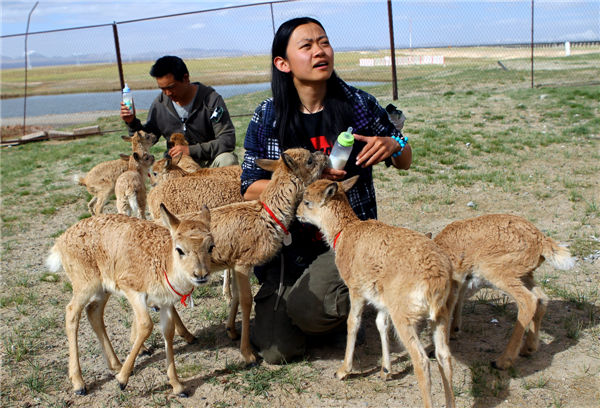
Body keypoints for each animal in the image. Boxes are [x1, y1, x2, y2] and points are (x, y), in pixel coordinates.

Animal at [47, 206, 216, 396]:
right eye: (179, 249)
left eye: (211, 246)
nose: (201, 274)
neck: (162, 263)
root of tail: (60, 240)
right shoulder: (133, 290)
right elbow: (146, 325)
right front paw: (122, 380)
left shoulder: (165, 303)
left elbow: (168, 332)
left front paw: (177, 385)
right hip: (85, 285)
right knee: (71, 313)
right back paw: (79, 382)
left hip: (103, 289)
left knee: (93, 312)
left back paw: (115, 365)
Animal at [298, 177, 458, 408]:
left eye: (307, 201)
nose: (297, 214)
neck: (345, 233)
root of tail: (437, 279)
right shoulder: (382, 299)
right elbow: (381, 324)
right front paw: (385, 370)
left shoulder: (356, 288)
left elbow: (353, 323)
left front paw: (343, 371)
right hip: (441, 315)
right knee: (444, 356)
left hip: (405, 315)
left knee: (421, 360)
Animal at [432, 214, 576, 370]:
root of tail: (541, 241)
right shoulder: (461, 282)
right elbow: (458, 303)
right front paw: (454, 331)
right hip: (523, 275)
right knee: (541, 299)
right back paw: (528, 349)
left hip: (496, 272)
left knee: (528, 301)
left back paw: (502, 361)